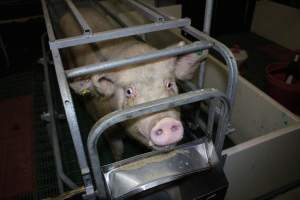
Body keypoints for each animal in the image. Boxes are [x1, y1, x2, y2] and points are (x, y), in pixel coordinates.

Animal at [59, 6, 202, 160]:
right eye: (129, 91)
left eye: (169, 84)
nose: (165, 122)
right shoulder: (109, 131)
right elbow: (118, 149)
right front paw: (118, 159)